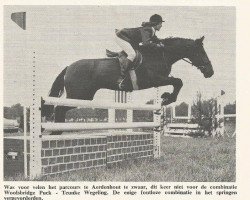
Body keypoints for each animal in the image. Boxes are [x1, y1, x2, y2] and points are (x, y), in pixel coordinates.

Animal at [42, 36, 213, 135]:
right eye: (202, 52)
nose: (210, 72)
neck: (159, 55)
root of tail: (68, 67)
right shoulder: (154, 79)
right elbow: (178, 81)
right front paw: (167, 98)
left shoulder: (159, 80)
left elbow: (177, 81)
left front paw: (165, 97)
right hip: (80, 95)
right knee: (59, 109)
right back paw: (56, 134)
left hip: (84, 96)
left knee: (60, 110)